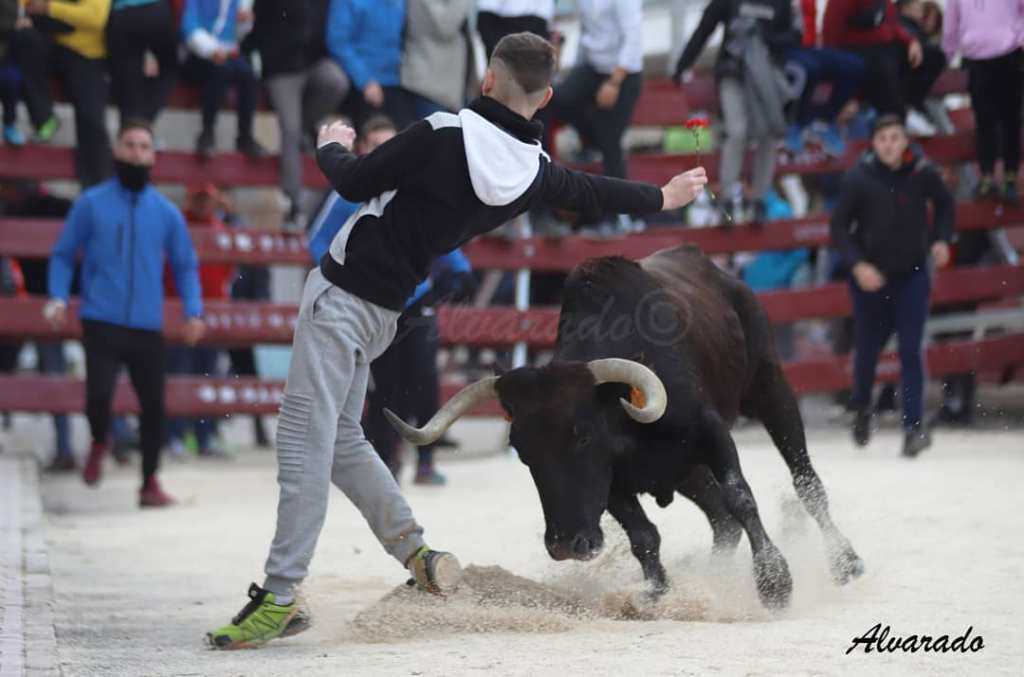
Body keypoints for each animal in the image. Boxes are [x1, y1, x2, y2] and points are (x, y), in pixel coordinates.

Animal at [386, 245, 864, 609]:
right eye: (521, 450)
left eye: (582, 435)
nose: (565, 544)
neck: (624, 422)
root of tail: (717, 272)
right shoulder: (614, 484)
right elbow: (643, 534)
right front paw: (654, 592)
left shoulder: (711, 433)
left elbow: (740, 496)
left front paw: (774, 581)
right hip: (687, 470)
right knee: (720, 519)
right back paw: (714, 574)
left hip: (770, 387)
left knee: (804, 481)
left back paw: (845, 562)